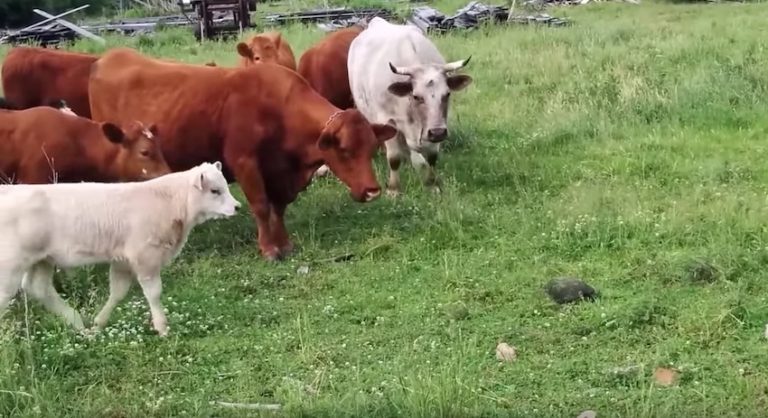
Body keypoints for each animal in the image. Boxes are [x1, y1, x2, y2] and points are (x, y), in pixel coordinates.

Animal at [0, 162, 241, 337]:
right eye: (215, 190)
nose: (237, 206)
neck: (169, 201)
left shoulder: (123, 260)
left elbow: (118, 292)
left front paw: (99, 323)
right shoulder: (146, 257)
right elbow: (154, 293)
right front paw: (163, 328)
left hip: (42, 259)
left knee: (38, 288)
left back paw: (79, 324)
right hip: (12, 263)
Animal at [88, 47, 397, 261]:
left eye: (371, 148)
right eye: (344, 150)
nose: (372, 191)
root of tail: (110, 56)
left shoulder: (279, 174)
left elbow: (278, 207)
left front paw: (284, 243)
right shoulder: (244, 162)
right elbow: (260, 206)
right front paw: (269, 248)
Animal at [348, 17, 473, 196]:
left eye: (447, 94)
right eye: (416, 96)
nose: (437, 132)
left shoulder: (435, 125)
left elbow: (431, 157)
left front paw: (432, 184)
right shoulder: (388, 120)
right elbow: (394, 158)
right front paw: (393, 189)